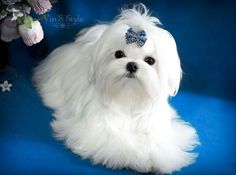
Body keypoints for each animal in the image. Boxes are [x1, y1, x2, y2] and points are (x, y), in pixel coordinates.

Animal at [32, 3, 199, 174]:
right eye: (119, 54)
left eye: (150, 61)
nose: (132, 65)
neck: (128, 98)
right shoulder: (98, 130)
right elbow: (120, 141)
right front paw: (139, 158)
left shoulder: (155, 125)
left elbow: (156, 142)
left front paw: (162, 159)